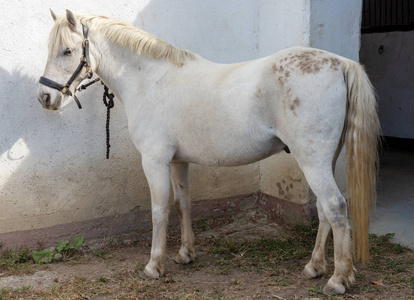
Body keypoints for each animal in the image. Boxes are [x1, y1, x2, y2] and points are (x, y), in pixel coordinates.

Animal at [37, 10, 380, 294]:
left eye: (67, 50)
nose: (45, 97)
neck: (150, 80)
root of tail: (341, 63)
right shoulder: (178, 161)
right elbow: (182, 204)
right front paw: (185, 254)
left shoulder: (155, 160)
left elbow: (159, 209)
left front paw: (154, 265)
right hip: (324, 160)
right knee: (325, 210)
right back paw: (315, 267)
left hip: (313, 160)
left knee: (335, 207)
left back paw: (338, 280)